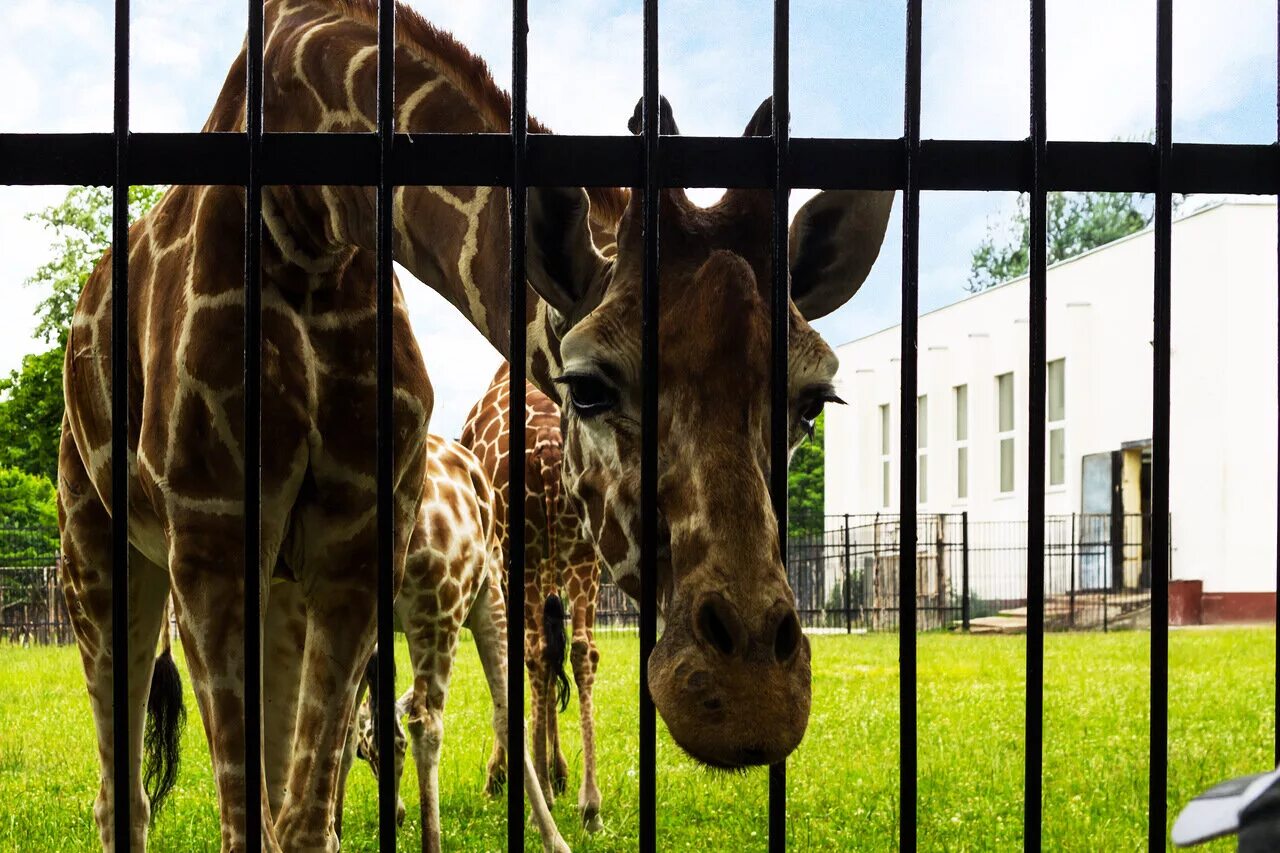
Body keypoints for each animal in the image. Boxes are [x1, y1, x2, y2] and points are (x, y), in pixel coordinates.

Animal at [332, 432, 568, 850]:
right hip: (441, 603)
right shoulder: (489, 592)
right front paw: (555, 840)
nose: (397, 815)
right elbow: (507, 714)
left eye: (369, 753)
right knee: (426, 720)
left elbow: (347, 733)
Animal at [460, 358, 604, 824]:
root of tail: (548, 447)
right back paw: (588, 802)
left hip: (518, 552)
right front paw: (557, 773)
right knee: (580, 649)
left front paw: (501, 776)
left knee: (537, 651)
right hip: (583, 553)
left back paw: (545, 788)